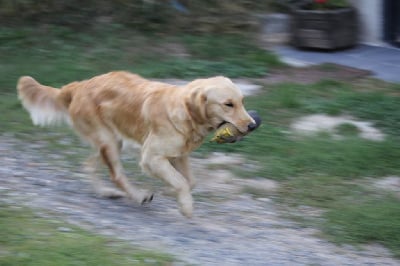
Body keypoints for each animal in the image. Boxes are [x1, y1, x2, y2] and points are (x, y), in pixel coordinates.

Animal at [16, 71, 256, 217]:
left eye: (242, 102)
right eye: (228, 104)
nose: (253, 125)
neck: (185, 113)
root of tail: (79, 86)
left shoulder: (179, 155)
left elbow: (189, 181)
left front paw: (172, 192)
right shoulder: (151, 157)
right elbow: (181, 182)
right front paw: (185, 206)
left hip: (111, 141)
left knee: (89, 165)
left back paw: (107, 192)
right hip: (109, 141)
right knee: (116, 174)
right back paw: (139, 196)